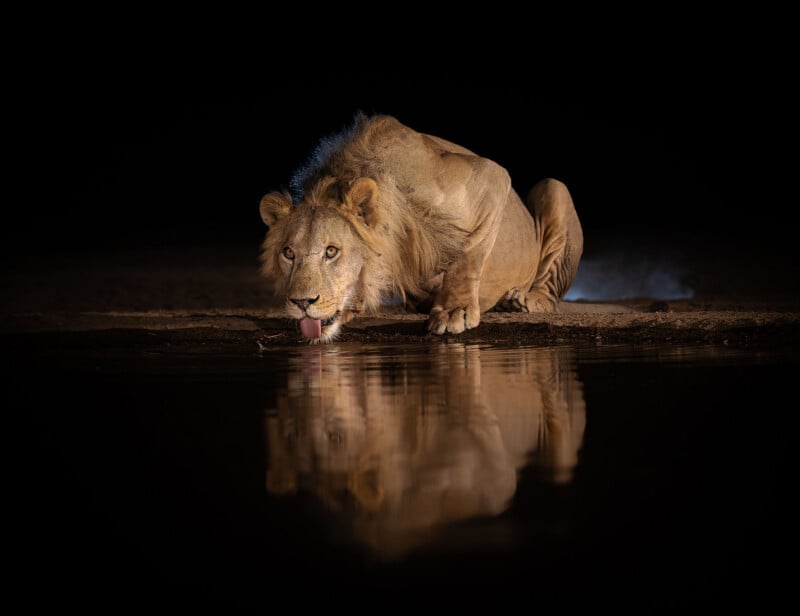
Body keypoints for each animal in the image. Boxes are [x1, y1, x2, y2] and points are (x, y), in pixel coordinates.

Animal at [259, 112, 583, 342]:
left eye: (331, 251)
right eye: (288, 253)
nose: (301, 302)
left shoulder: (491, 177)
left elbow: (469, 253)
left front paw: (454, 311)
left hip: (553, 188)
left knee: (548, 288)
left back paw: (523, 301)